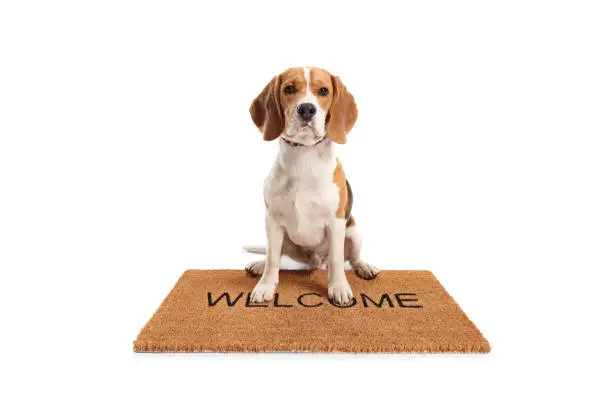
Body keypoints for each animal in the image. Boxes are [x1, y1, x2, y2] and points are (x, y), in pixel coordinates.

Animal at [244, 67, 378, 304]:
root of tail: (315, 262)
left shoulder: (336, 223)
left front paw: (339, 287)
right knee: (276, 256)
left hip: (353, 232)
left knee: (352, 259)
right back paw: (259, 265)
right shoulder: (272, 221)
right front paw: (265, 286)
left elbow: (337, 260)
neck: (304, 157)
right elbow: (272, 260)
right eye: (289, 89)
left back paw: (364, 267)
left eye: (323, 91)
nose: (306, 109)